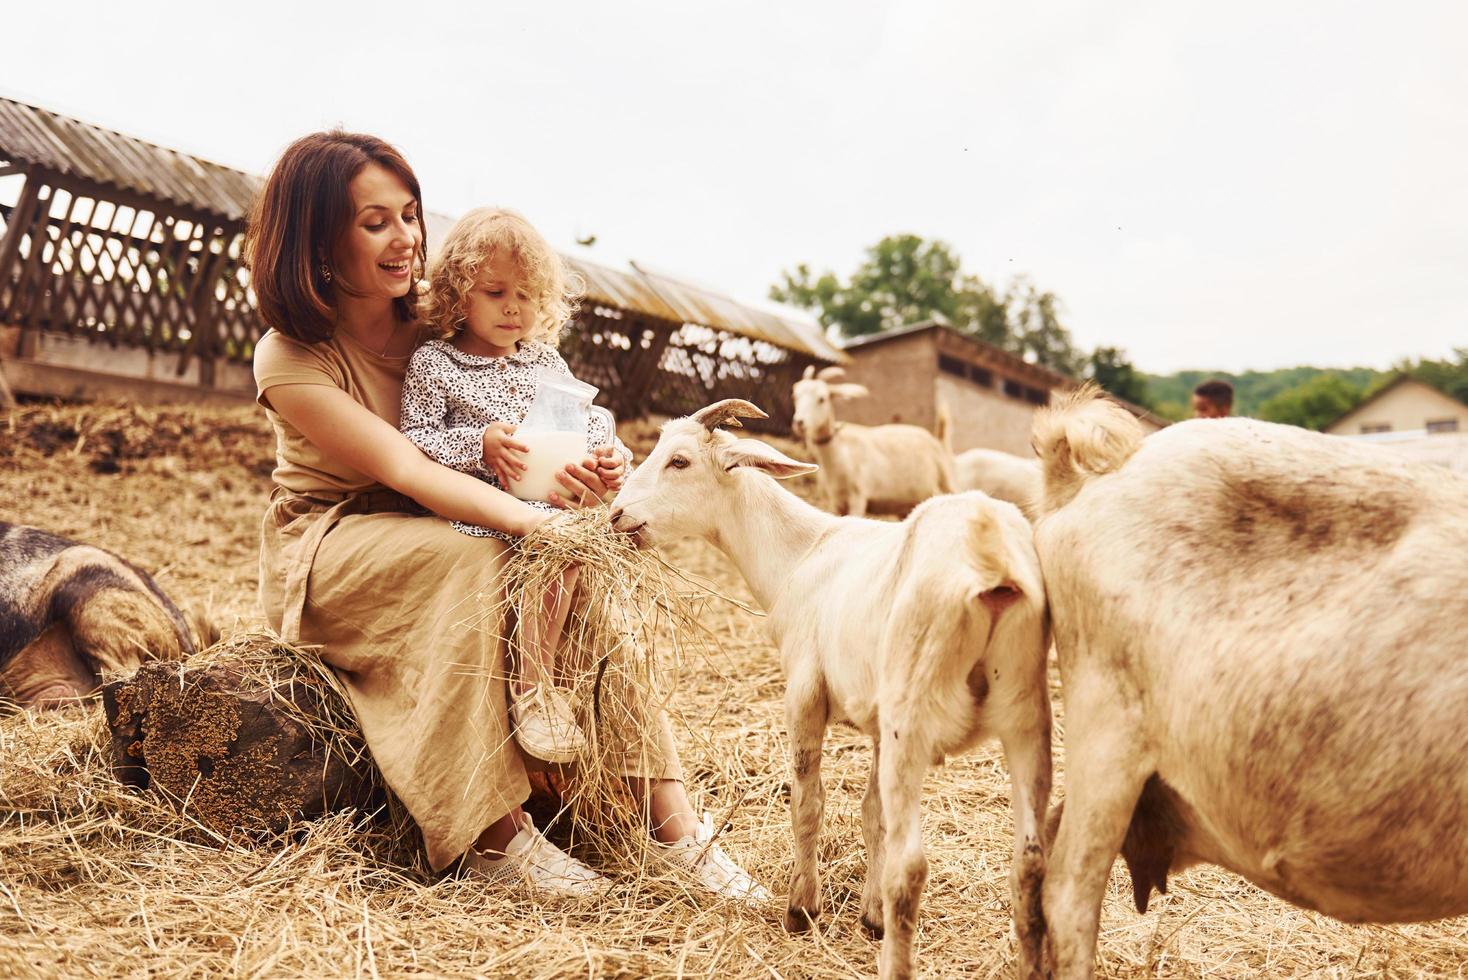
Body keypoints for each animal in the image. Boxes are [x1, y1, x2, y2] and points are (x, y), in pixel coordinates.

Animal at [610, 399, 1056, 979]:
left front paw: (802, 908)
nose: (616, 514)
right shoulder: (877, 724)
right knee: (1030, 863)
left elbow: (808, 801)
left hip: (916, 712)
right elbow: (872, 814)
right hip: (1024, 714)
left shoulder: (804, 690)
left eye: (679, 461)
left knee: (912, 867)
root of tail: (990, 552)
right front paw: (869, 916)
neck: (801, 555)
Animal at [792, 365, 951, 516]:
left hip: (948, 482)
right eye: (795, 396)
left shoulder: (858, 497)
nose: (799, 422)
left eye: (822, 399)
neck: (839, 451)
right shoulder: (833, 502)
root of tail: (937, 440)